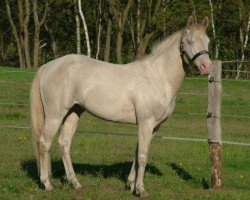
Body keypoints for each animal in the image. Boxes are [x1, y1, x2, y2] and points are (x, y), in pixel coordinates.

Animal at [30, 16, 212, 198]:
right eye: (189, 41)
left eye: (208, 41)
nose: (207, 67)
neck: (157, 77)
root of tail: (48, 66)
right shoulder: (146, 123)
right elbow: (143, 156)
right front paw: (141, 190)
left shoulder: (154, 127)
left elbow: (137, 154)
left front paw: (131, 185)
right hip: (55, 116)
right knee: (44, 143)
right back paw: (47, 184)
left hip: (73, 112)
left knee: (64, 143)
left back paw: (75, 183)